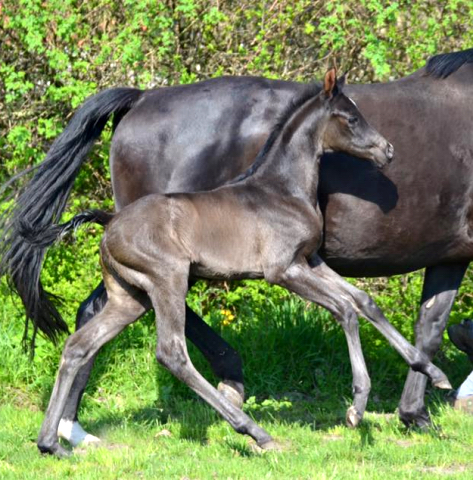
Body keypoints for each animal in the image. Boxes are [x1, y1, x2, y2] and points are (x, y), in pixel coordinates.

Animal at [36, 71, 446, 458]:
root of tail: (109, 224)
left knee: (78, 344)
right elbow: (345, 309)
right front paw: (357, 405)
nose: (388, 151)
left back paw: (51, 443)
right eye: (351, 118)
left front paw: (433, 371)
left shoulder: (311, 261)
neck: (283, 190)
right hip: (168, 280)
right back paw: (257, 433)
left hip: (129, 298)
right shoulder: (284, 271)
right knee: (172, 353)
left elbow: (364, 301)